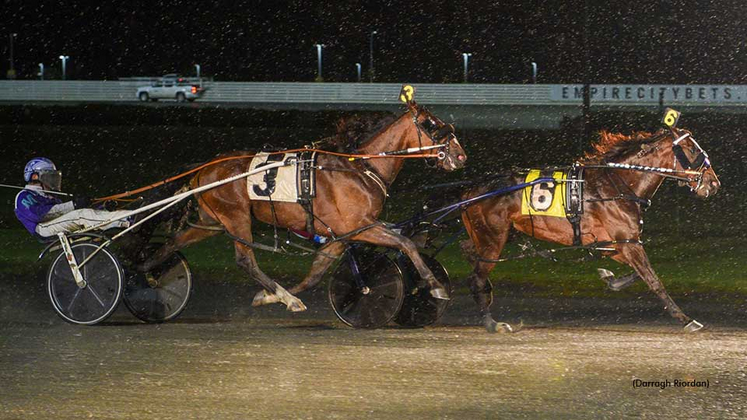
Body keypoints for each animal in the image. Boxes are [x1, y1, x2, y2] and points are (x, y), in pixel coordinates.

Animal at [142, 101, 468, 312]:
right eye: (431, 125)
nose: (461, 155)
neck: (359, 168)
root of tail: (204, 168)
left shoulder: (343, 235)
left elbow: (316, 273)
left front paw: (270, 297)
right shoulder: (359, 226)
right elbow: (406, 244)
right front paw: (434, 285)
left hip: (211, 221)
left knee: (172, 243)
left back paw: (145, 273)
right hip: (235, 217)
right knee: (245, 260)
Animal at [462, 126, 720, 334]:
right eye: (693, 150)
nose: (714, 183)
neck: (617, 185)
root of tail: (472, 190)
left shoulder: (616, 243)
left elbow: (638, 274)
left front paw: (610, 278)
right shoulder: (628, 242)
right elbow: (653, 279)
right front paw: (686, 319)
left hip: (500, 234)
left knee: (469, 251)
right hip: (493, 239)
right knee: (476, 277)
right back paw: (491, 322)